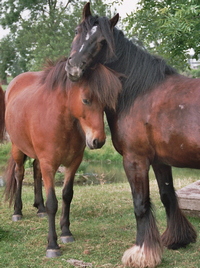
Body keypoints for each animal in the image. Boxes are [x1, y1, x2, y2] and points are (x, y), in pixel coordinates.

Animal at [3, 58, 122, 258]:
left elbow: (67, 195)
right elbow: (53, 202)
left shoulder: (73, 163)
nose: (98, 141)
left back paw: (40, 208)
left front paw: (66, 232)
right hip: (17, 149)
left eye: (105, 104)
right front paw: (52, 245)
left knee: (36, 172)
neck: (60, 123)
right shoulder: (49, 164)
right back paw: (17, 211)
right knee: (19, 175)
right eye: (86, 100)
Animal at [66, 2, 200, 268]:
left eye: (101, 41)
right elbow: (167, 196)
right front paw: (177, 239)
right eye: (77, 31)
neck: (140, 94)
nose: (73, 68)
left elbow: (140, 204)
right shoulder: (160, 160)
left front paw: (141, 252)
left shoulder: (135, 160)